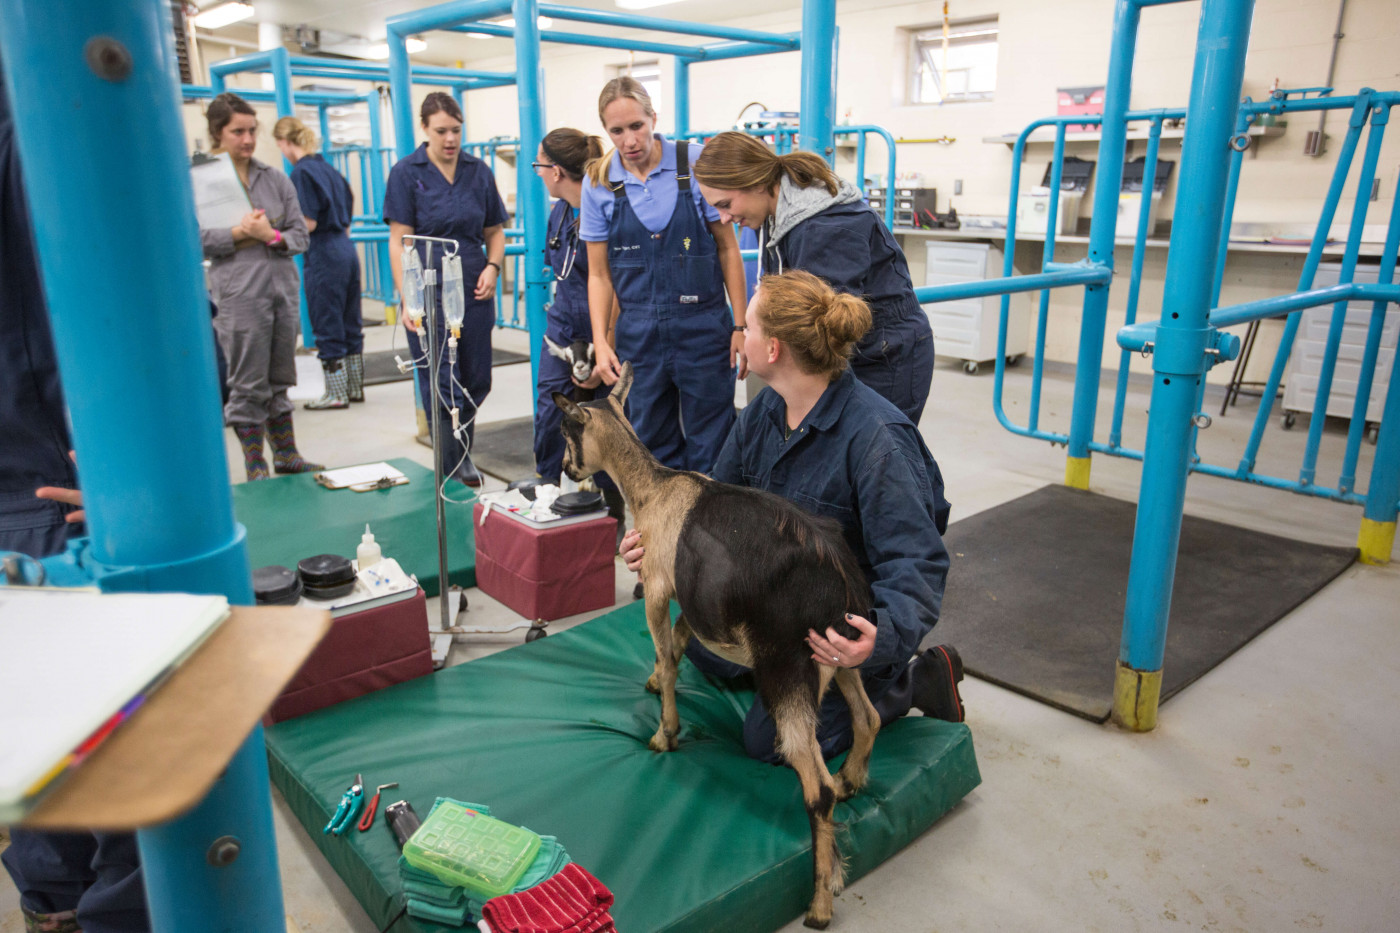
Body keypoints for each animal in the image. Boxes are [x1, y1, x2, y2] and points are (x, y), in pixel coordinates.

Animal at [551, 361, 879, 924]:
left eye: (567, 430)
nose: (569, 471)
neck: (653, 487)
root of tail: (838, 580)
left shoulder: (657, 586)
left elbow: (666, 649)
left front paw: (665, 733)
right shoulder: (695, 600)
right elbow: (681, 642)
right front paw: (654, 680)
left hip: (788, 671)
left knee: (816, 786)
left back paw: (819, 902)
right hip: (843, 654)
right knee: (867, 717)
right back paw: (853, 780)